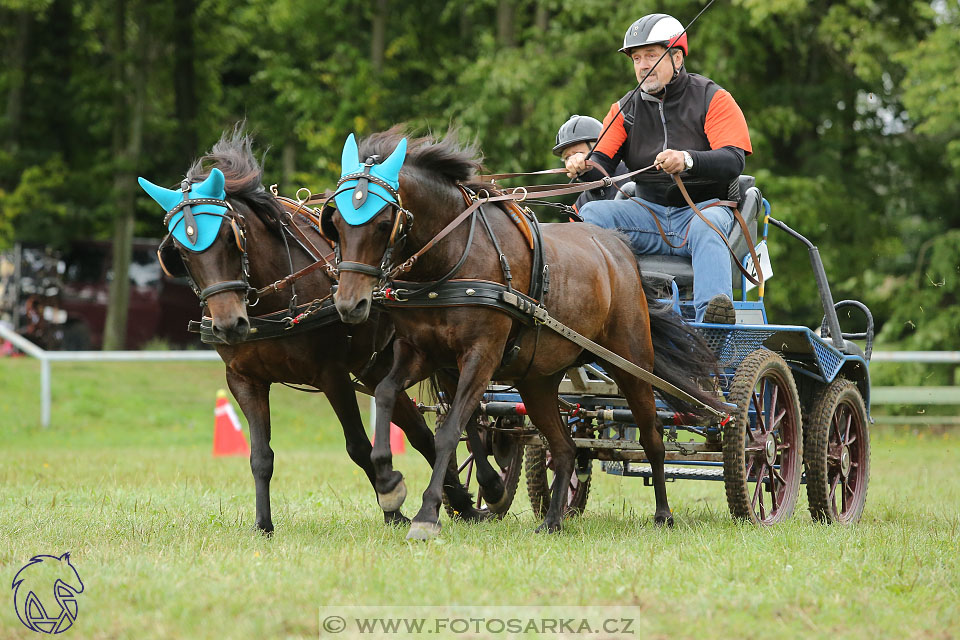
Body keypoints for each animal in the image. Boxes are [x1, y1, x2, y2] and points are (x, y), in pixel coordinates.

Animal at [135, 127, 480, 532]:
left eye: (229, 238)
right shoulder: (244, 380)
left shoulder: (332, 373)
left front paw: (391, 500)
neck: (274, 301)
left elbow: (357, 445)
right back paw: (460, 500)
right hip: (377, 366)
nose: (229, 325)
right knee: (418, 430)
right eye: (182, 252)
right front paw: (263, 525)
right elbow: (260, 456)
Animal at [322, 127, 720, 536]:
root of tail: (619, 250)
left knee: (651, 436)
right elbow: (387, 393)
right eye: (335, 224)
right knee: (565, 447)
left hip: (631, 363)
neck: (451, 258)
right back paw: (553, 519)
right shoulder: (420, 352)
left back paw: (663, 513)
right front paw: (389, 485)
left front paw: (427, 513)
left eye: (384, 223)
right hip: (537, 381)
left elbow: (449, 431)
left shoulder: (481, 356)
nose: (350, 304)